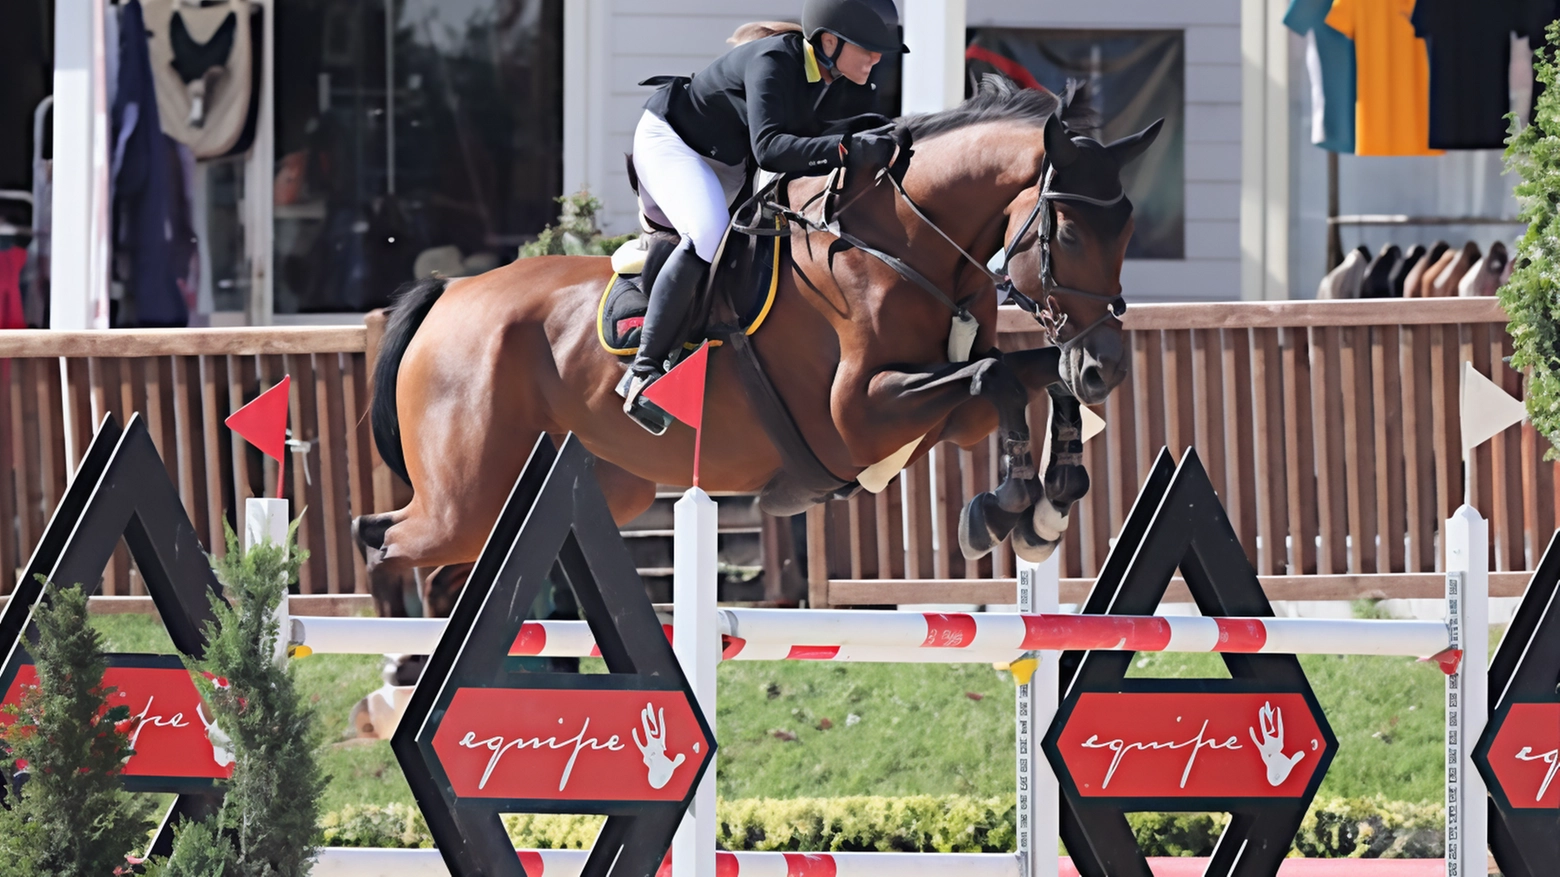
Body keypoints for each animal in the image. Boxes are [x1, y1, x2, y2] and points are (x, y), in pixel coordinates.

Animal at [354, 80, 1160, 608]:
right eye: (1068, 233)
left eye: (1129, 230)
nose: (1109, 368)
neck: (905, 247)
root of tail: (449, 295)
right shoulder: (859, 420)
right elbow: (997, 375)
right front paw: (1009, 505)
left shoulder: (946, 418)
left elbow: (1030, 374)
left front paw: (1053, 500)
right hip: (463, 497)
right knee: (382, 542)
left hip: (594, 488)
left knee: (447, 568)